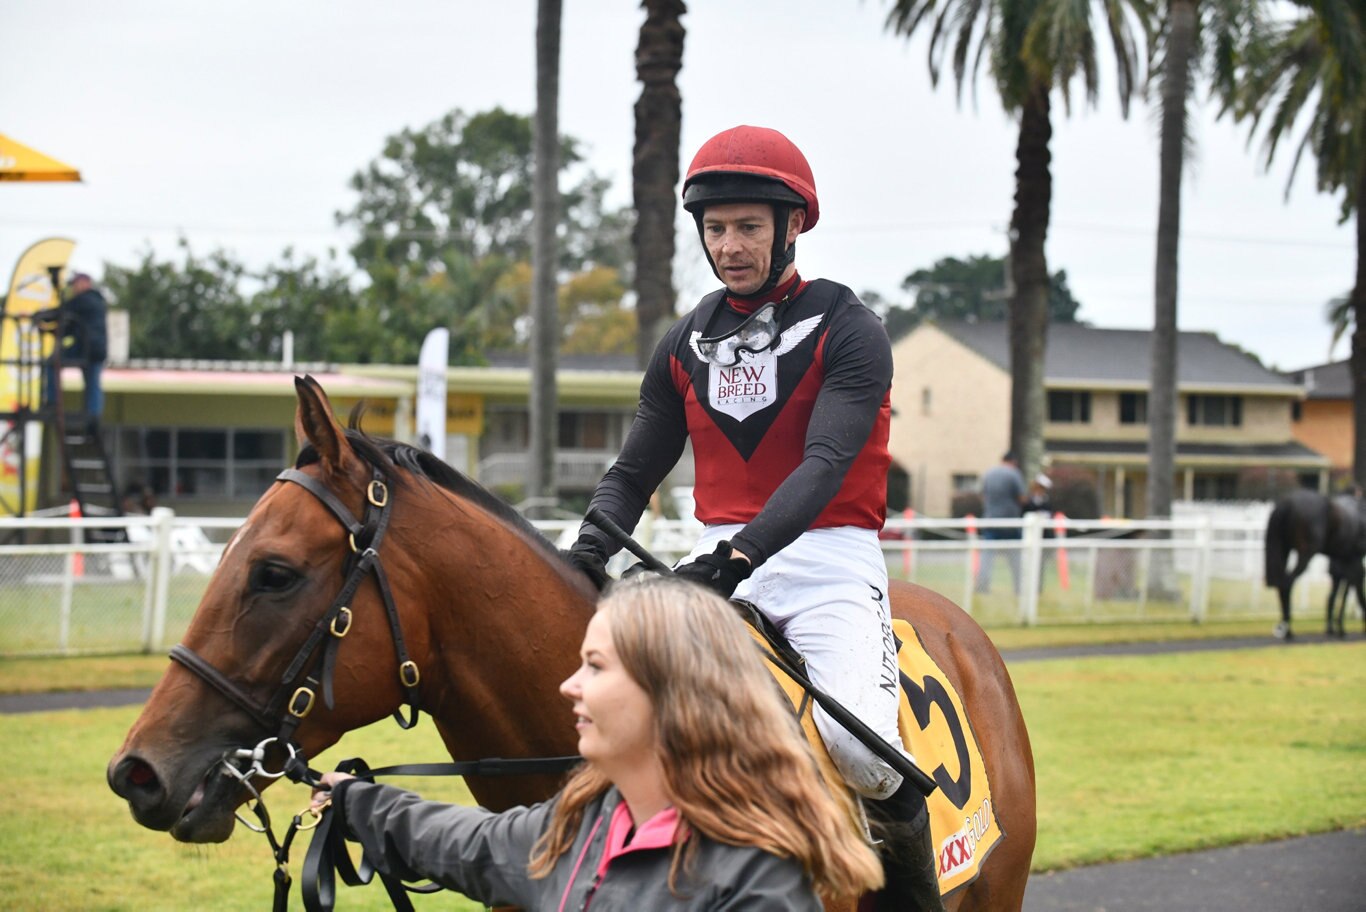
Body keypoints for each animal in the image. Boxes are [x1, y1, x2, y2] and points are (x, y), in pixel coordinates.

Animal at [1256, 488, 1366, 638]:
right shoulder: (1354, 559)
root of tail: (1287, 503)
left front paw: (1339, 628)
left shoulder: (1348, 560)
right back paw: (1288, 630)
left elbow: (1345, 593)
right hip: (1306, 553)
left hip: (1284, 549)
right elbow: (1354, 592)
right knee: (1288, 583)